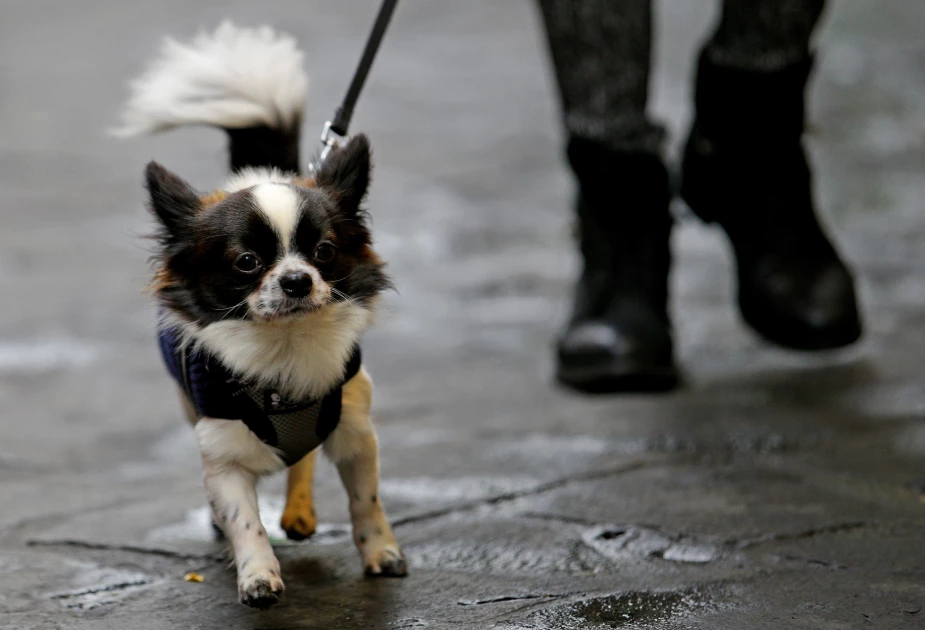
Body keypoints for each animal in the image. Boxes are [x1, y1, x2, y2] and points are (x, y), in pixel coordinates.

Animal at [114, 23, 404, 608]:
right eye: (247, 262)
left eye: (324, 252)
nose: (296, 280)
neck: (285, 344)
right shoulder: (222, 453)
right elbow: (244, 518)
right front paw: (257, 576)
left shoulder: (356, 429)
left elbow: (366, 500)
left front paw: (381, 552)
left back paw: (300, 511)